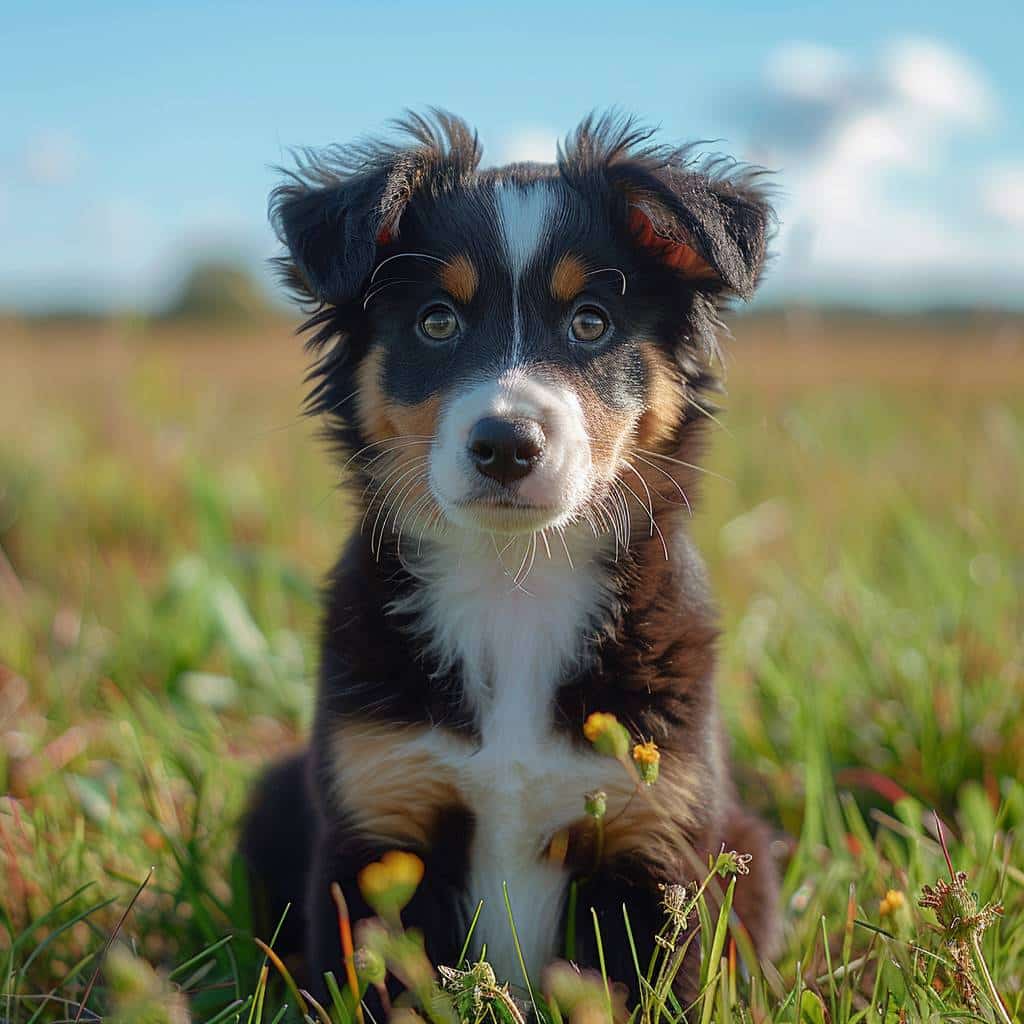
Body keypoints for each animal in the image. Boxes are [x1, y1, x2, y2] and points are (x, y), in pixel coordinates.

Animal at [239, 110, 778, 999]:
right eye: (436, 321)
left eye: (592, 321)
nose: (504, 444)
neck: (513, 583)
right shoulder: (377, 823)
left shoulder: (652, 834)